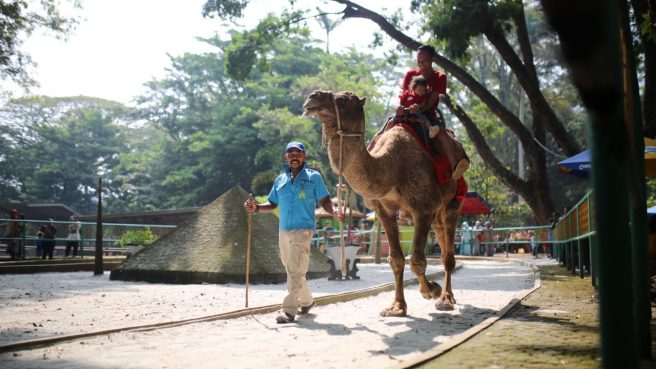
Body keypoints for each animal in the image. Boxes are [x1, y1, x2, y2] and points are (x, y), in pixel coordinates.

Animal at [302, 90, 462, 316]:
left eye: (342, 100)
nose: (312, 98)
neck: (390, 167)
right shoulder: (384, 209)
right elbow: (396, 259)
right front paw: (397, 307)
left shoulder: (422, 208)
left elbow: (417, 260)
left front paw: (431, 290)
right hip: (437, 214)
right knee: (442, 243)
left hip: (453, 203)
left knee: (448, 254)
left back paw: (446, 299)